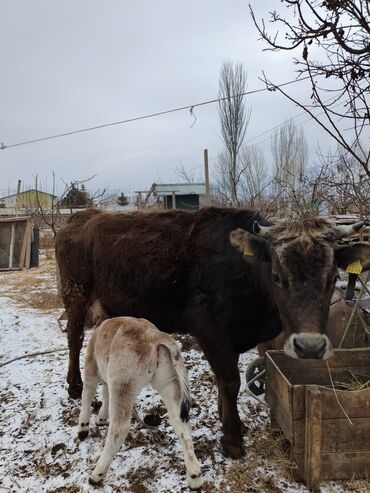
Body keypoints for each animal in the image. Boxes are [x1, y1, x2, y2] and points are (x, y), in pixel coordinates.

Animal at [55, 207, 370, 458]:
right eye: (277, 277)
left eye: (333, 279)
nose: (310, 347)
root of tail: (81, 215)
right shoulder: (210, 331)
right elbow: (230, 381)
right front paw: (233, 440)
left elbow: (223, 381)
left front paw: (230, 421)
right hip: (75, 292)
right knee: (74, 338)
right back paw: (74, 385)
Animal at [76, 316, 202, 488]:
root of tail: (152, 334)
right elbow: (105, 393)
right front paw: (101, 418)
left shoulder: (91, 368)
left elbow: (87, 395)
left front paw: (83, 428)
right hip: (168, 380)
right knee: (180, 422)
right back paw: (195, 476)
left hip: (122, 382)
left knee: (119, 429)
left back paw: (96, 474)